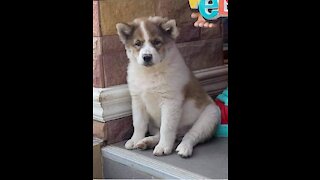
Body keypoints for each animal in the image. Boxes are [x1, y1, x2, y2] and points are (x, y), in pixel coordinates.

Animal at [116, 16, 221, 158]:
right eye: (138, 43)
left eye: (157, 42)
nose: (147, 57)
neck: (151, 73)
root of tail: (180, 133)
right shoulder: (137, 100)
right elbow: (138, 123)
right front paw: (135, 139)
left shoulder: (170, 102)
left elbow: (167, 128)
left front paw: (163, 147)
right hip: (154, 125)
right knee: (160, 133)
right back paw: (146, 142)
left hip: (210, 116)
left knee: (191, 135)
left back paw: (184, 148)